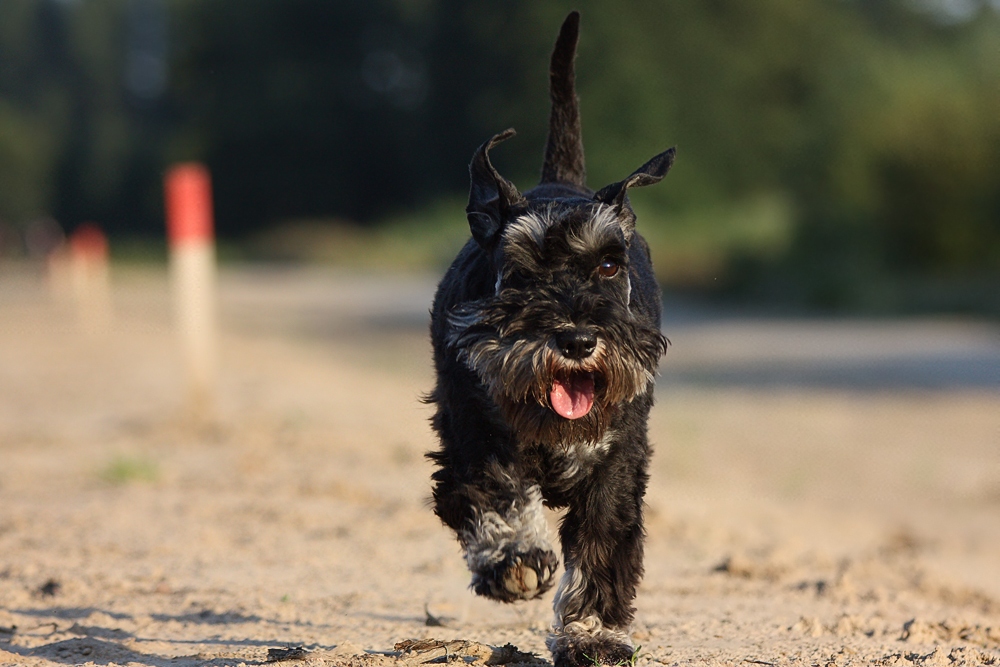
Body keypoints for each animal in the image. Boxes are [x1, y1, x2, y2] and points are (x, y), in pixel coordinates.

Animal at [426, 11, 676, 667]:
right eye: (522, 269)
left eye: (610, 265)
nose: (579, 340)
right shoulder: (473, 430)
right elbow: (495, 490)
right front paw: (515, 558)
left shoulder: (618, 455)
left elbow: (603, 540)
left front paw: (593, 635)